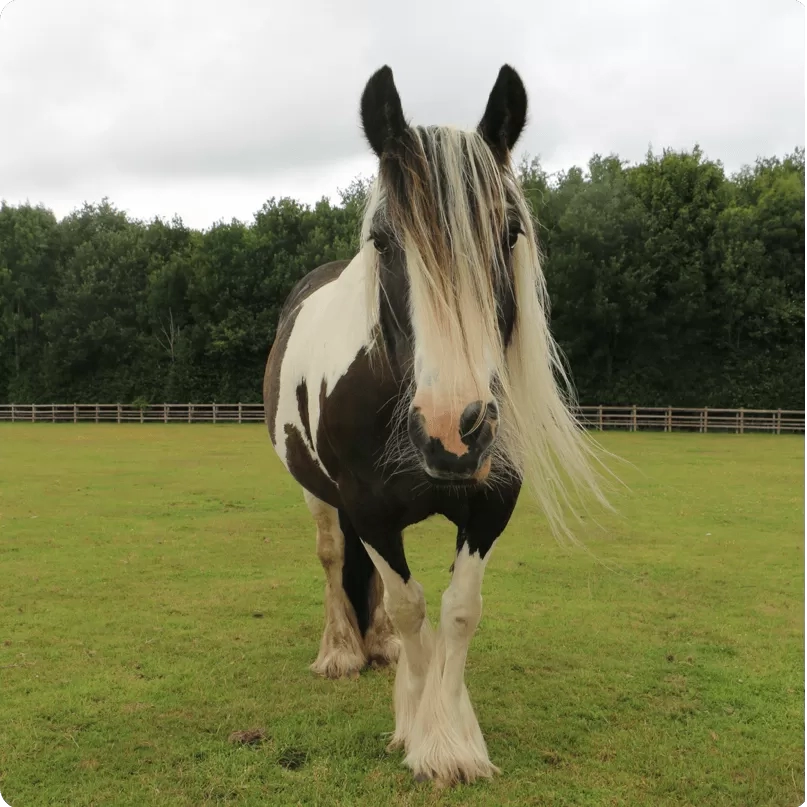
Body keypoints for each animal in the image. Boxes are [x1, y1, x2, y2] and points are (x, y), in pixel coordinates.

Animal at [262, 64, 604, 788]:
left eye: (509, 231)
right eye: (384, 240)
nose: (454, 429)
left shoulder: (491, 502)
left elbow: (456, 608)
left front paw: (455, 736)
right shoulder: (369, 509)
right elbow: (409, 601)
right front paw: (422, 732)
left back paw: (380, 647)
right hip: (318, 493)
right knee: (332, 556)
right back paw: (342, 650)